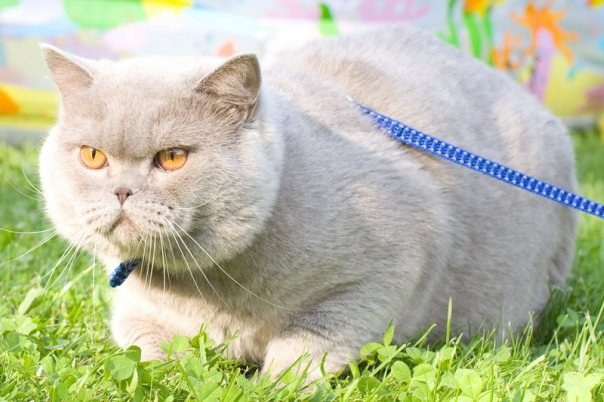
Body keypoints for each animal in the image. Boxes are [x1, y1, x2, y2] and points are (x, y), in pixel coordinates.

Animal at [40, 25, 580, 380]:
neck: (211, 292)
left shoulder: (395, 261)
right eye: (92, 156)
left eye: (173, 158)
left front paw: (272, 384)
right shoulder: (136, 312)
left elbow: (312, 341)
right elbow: (145, 354)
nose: (122, 191)